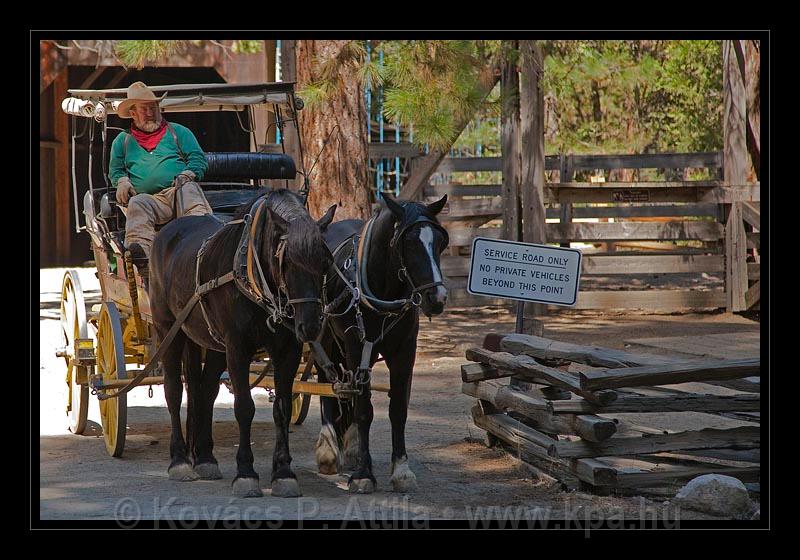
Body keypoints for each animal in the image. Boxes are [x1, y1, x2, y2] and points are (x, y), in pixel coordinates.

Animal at [148, 189, 332, 498]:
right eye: (286, 262)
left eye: (325, 262)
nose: (310, 325)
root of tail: (168, 230)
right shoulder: (237, 346)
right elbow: (244, 407)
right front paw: (246, 473)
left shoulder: (288, 350)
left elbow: (282, 408)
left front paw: (283, 472)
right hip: (168, 330)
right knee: (173, 391)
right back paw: (180, 460)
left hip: (210, 341)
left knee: (204, 391)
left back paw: (204, 457)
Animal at [314, 195, 450, 492]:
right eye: (407, 242)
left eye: (440, 242)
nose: (437, 297)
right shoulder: (357, 348)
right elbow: (365, 410)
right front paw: (364, 474)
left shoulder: (405, 352)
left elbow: (397, 409)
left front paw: (401, 470)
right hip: (324, 339)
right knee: (327, 383)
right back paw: (328, 449)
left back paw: (351, 446)